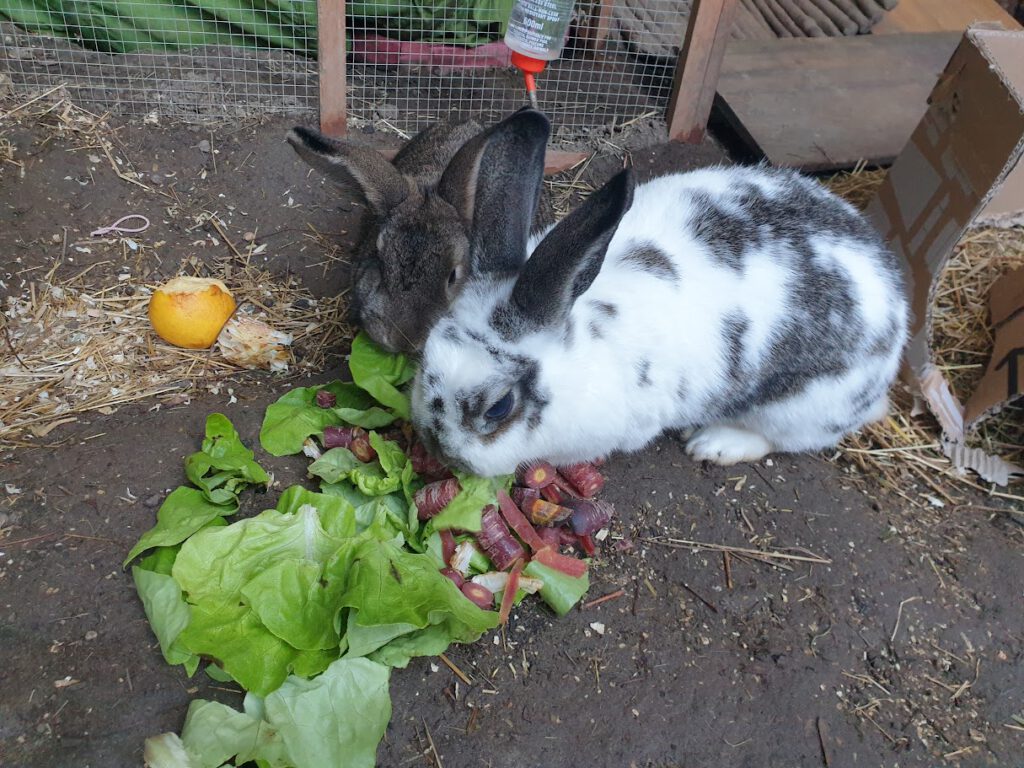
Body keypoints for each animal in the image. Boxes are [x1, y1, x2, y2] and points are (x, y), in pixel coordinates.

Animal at [409, 132, 908, 477]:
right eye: (427, 354)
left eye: (499, 407)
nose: (436, 445)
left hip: (797, 409)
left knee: (781, 439)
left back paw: (711, 444)